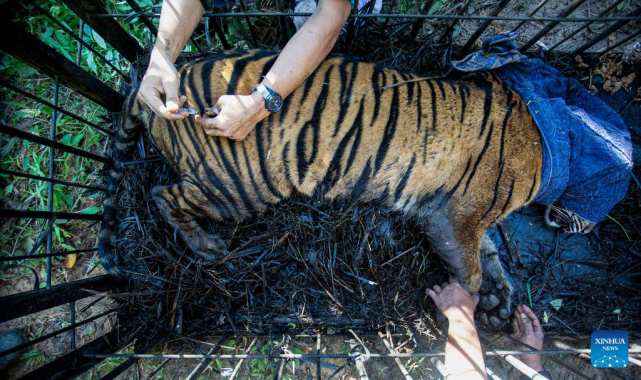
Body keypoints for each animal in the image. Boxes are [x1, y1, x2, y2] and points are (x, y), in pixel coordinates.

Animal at [99, 48, 596, 326]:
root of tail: (159, 87)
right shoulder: (453, 215)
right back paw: (207, 246)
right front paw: (470, 303)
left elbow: (491, 256)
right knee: (163, 195)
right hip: (238, 186)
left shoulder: (471, 218)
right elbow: (472, 268)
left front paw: (500, 300)